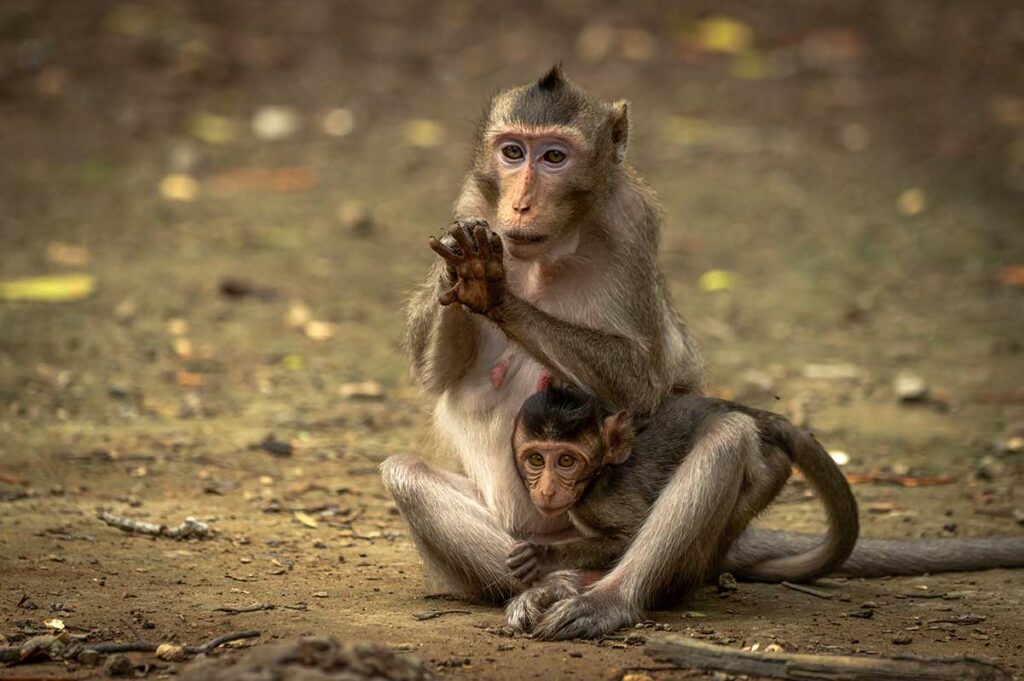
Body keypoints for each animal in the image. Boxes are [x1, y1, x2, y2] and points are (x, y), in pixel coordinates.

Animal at [504, 386, 858, 596]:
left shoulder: (608, 500)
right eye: (536, 459)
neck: (599, 476)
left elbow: (630, 538)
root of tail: (762, 418)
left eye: (566, 461)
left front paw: (546, 555)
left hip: (768, 471)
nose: (547, 490)